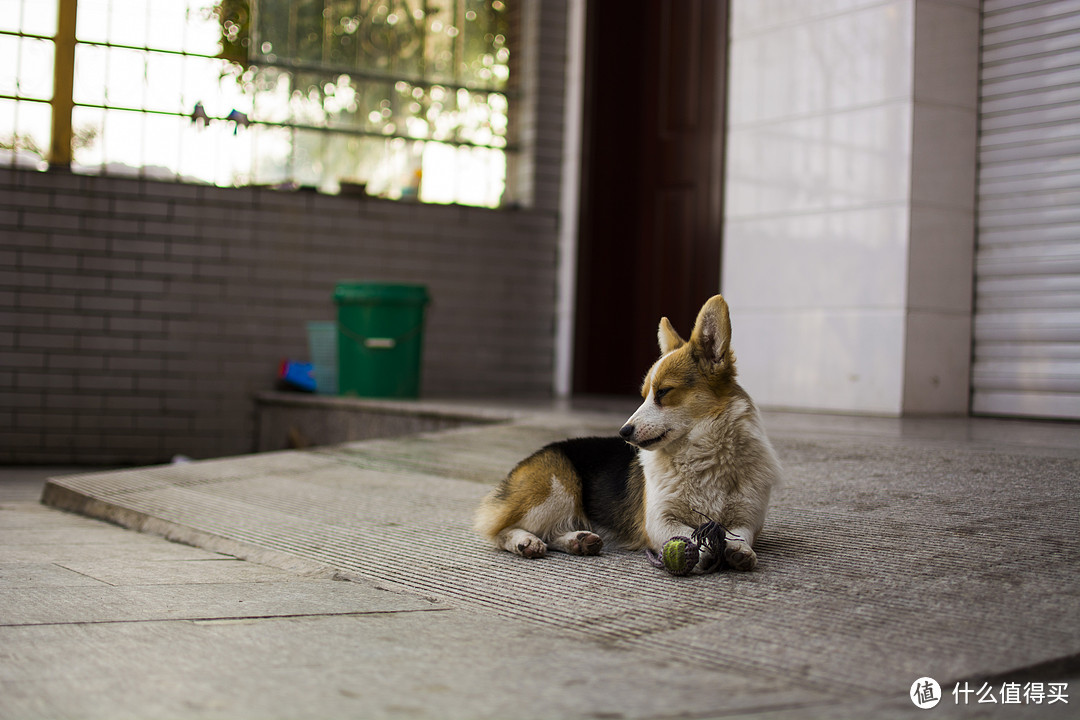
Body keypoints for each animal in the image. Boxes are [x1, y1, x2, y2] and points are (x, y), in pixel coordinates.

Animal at [477, 295, 781, 569]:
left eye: (663, 392)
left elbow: (739, 534)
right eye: (644, 395)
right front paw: (704, 548)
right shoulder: (659, 520)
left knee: (550, 533)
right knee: (499, 530)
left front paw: (739, 550)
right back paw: (525, 542)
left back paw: (579, 541)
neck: (702, 456)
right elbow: (687, 533)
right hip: (554, 492)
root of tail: (536, 454)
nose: (623, 432)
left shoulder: (748, 517)